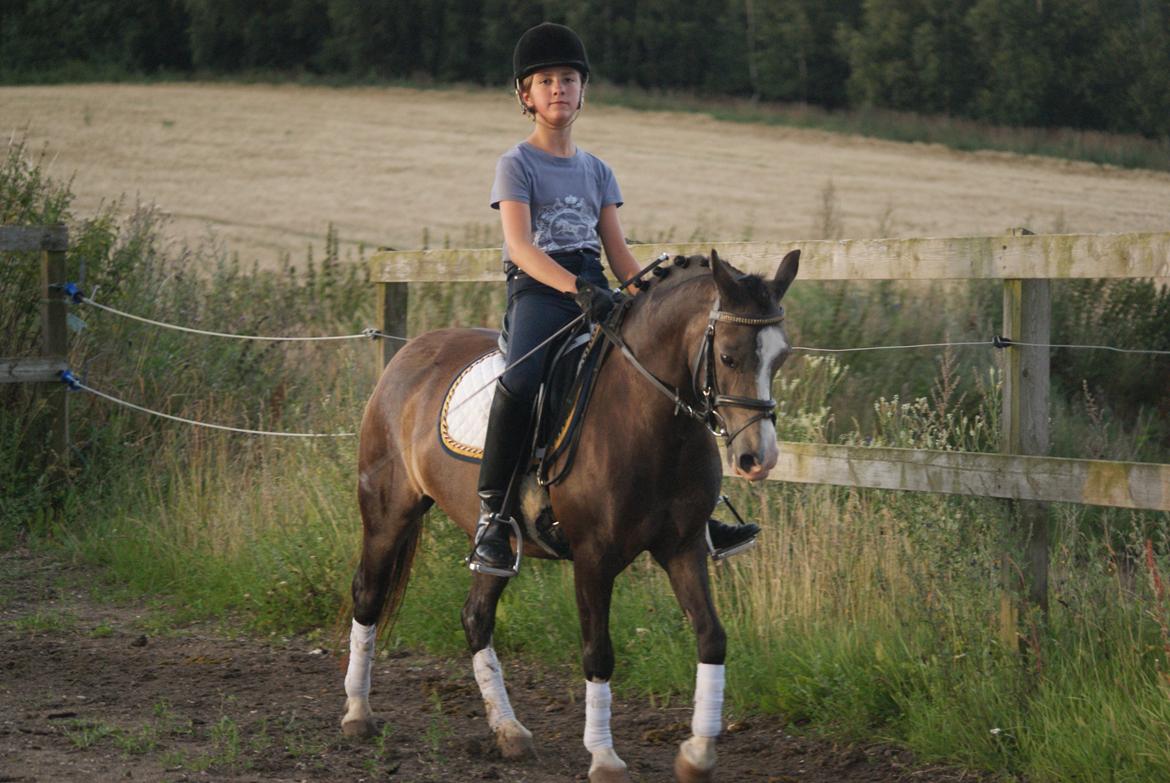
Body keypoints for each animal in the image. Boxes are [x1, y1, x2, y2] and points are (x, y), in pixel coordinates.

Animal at [341, 248, 799, 782]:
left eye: (781, 357)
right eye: (727, 355)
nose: (758, 459)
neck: (646, 417)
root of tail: (410, 352)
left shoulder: (683, 549)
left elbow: (712, 638)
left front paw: (697, 754)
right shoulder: (593, 558)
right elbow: (598, 652)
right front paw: (604, 758)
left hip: (499, 546)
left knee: (476, 616)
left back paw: (510, 732)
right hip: (388, 512)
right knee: (368, 595)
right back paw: (358, 714)